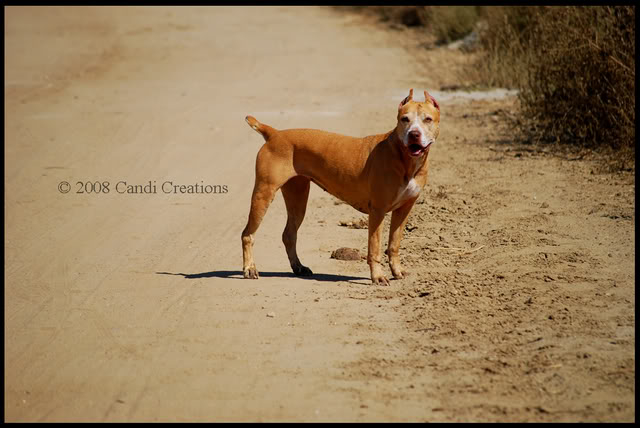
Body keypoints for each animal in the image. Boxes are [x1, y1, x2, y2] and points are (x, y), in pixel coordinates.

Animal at [240, 89, 440, 284]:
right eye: (404, 119)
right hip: (264, 193)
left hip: (297, 197)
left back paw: (299, 267)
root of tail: (274, 134)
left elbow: (394, 244)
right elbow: (374, 247)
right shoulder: (378, 210)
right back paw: (250, 269)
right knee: (248, 234)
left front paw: (397, 271)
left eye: (428, 119)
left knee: (289, 234)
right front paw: (377, 276)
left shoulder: (404, 209)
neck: (404, 158)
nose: (414, 134)